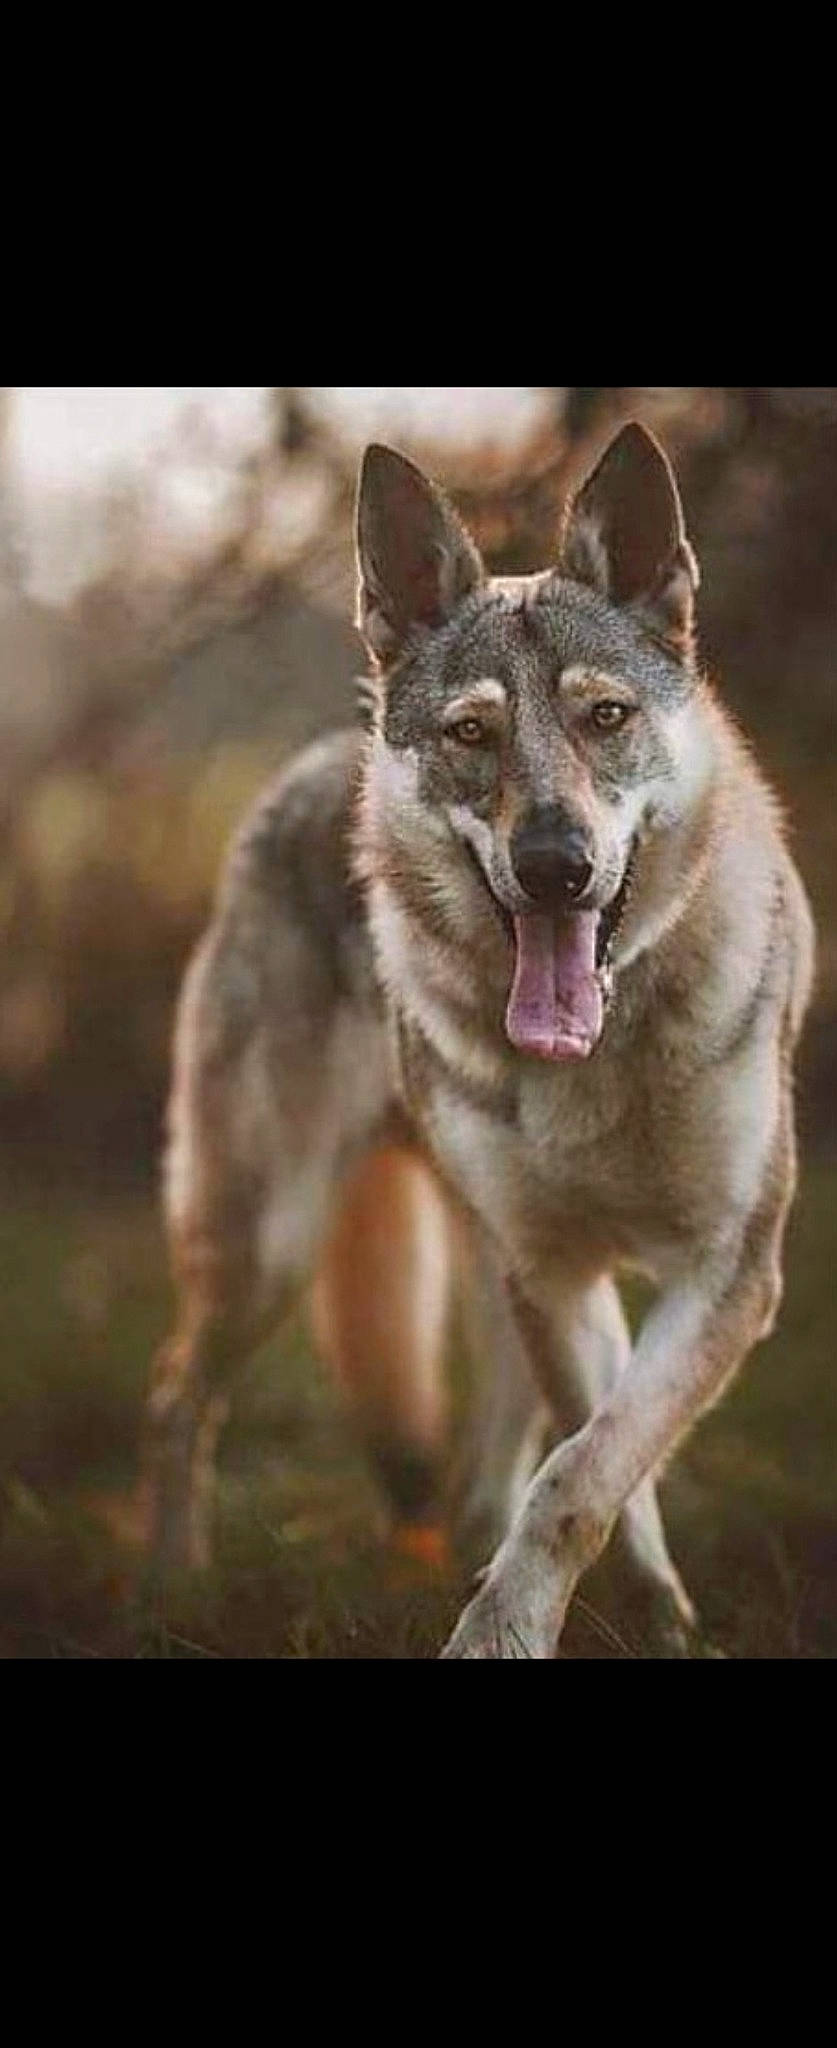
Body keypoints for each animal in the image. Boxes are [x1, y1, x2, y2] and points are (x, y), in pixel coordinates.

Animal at [354, 421, 815, 1658]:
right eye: (472, 734)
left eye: (604, 717)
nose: (556, 864)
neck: (598, 1063)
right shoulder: (555, 1274)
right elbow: (592, 1460)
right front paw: (531, 1621)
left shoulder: (731, 1272)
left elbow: (584, 1469)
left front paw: (597, 1619)